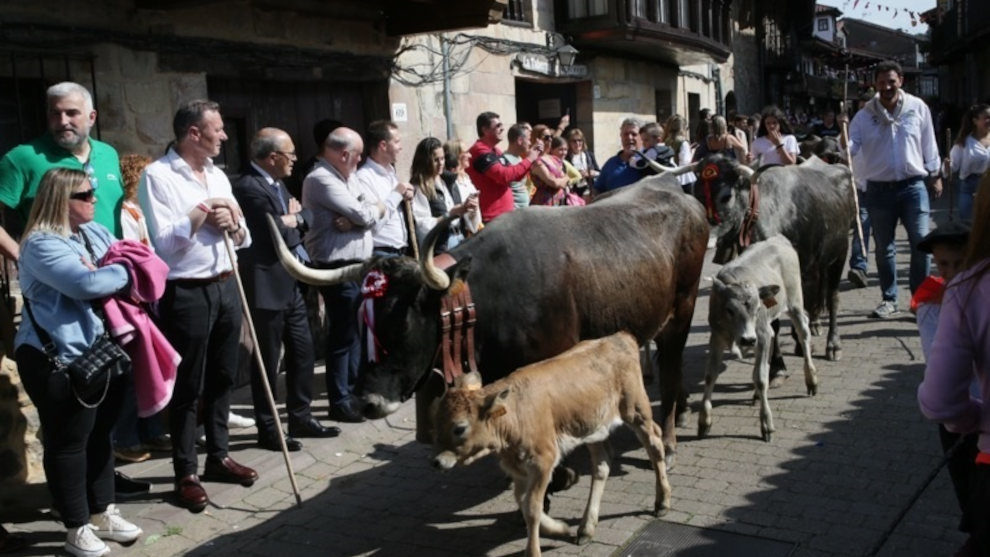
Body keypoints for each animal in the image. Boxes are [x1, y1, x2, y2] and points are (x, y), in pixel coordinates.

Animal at [430, 332, 672, 552]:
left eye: (459, 428)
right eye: (436, 422)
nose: (437, 462)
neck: (515, 416)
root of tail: (619, 337)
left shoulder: (543, 460)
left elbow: (532, 508)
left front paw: (535, 550)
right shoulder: (518, 468)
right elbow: (521, 500)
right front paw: (560, 529)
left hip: (636, 409)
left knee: (654, 442)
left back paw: (662, 502)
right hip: (592, 427)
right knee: (602, 464)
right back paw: (586, 528)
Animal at [700, 236, 816, 444]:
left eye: (757, 309)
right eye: (730, 310)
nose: (747, 339)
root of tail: (778, 239)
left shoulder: (760, 335)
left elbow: (761, 379)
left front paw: (766, 424)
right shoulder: (717, 337)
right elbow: (710, 375)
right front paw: (704, 421)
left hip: (794, 302)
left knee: (803, 331)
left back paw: (811, 380)